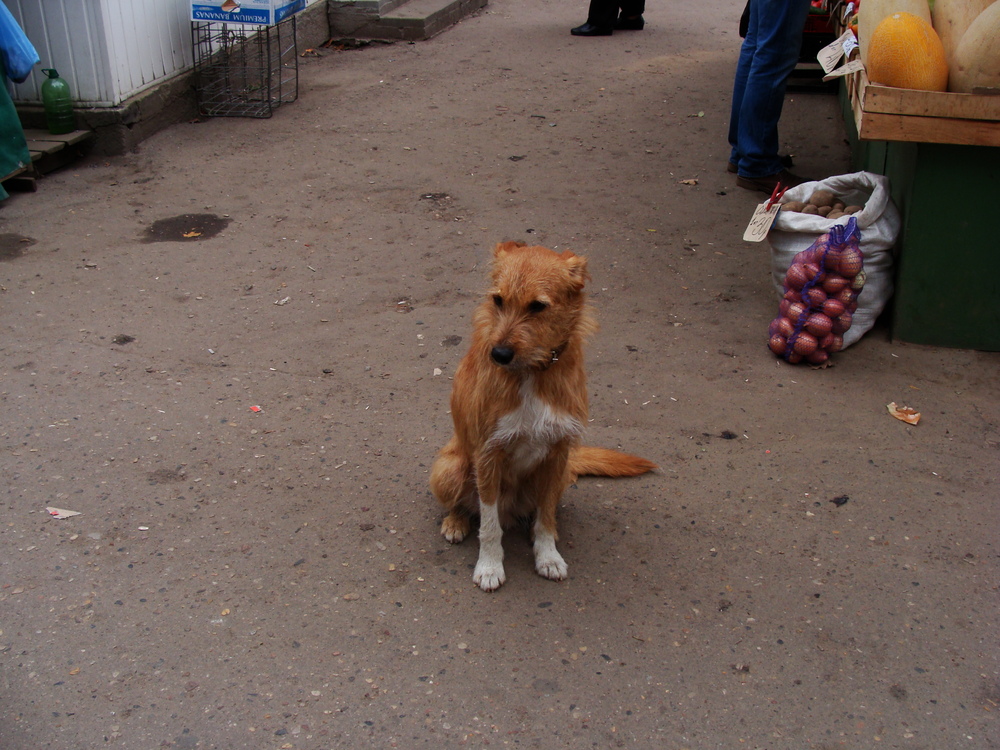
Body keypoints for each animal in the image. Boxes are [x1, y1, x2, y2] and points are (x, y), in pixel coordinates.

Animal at [430, 242, 656, 592]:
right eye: (498, 300)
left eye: (538, 306)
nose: (498, 355)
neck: (531, 373)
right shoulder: (488, 456)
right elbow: (489, 525)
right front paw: (489, 566)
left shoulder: (557, 455)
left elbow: (546, 517)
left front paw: (547, 556)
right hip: (449, 468)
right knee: (464, 505)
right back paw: (455, 522)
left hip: (560, 476)